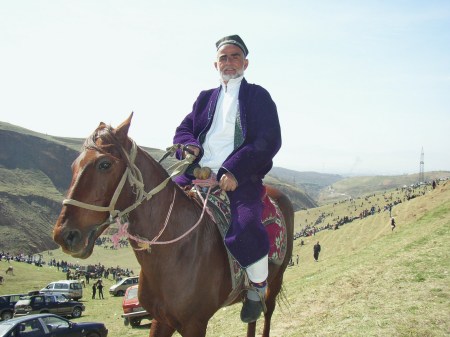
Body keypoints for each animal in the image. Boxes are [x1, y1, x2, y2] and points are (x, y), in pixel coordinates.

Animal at [52, 114, 294, 334]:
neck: (176, 252)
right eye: (74, 165)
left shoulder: (195, 324)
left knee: (267, 312)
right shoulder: (161, 320)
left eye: (104, 164)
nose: (64, 235)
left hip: (276, 281)